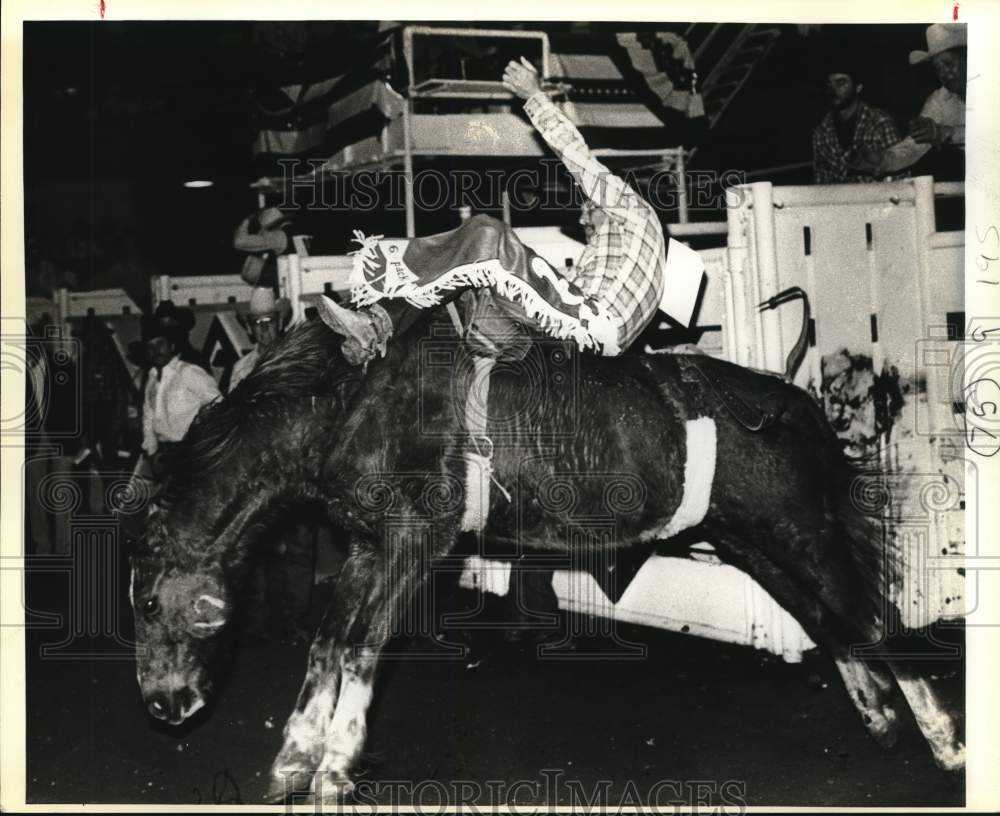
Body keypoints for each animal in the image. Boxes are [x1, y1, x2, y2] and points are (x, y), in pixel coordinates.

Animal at [129, 312, 964, 804]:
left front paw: (333, 769)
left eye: (146, 599)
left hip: (798, 530)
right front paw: (293, 761)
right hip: (749, 540)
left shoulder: (413, 541)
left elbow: (362, 646)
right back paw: (877, 715)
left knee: (872, 615)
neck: (353, 400)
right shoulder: (369, 548)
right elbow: (330, 643)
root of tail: (796, 404)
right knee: (827, 617)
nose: (163, 706)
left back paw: (944, 743)